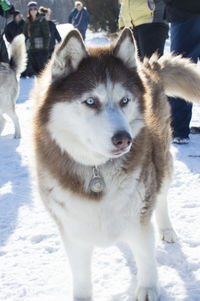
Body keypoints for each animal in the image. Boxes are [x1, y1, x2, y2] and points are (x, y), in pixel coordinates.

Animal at [32, 28, 200, 300]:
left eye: (124, 100)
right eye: (91, 101)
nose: (124, 139)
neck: (96, 169)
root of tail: (147, 67)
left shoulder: (139, 214)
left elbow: (145, 257)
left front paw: (148, 289)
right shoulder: (72, 228)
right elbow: (81, 278)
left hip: (161, 161)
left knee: (162, 196)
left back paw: (166, 229)